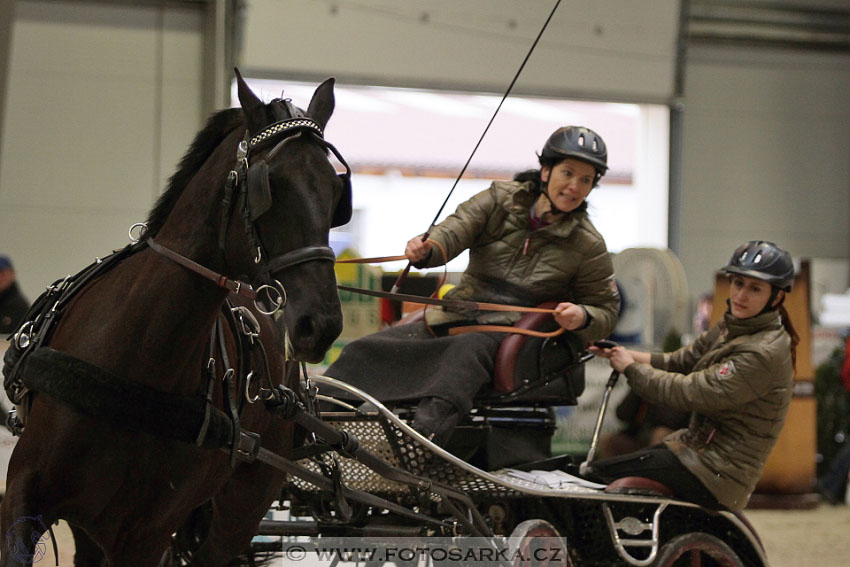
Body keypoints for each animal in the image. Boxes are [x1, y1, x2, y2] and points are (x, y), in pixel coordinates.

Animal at [2, 72, 348, 567]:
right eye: (271, 185)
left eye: (337, 193)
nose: (320, 325)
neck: (134, 364)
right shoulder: (25, 492)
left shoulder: (143, 535)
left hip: (240, 510)